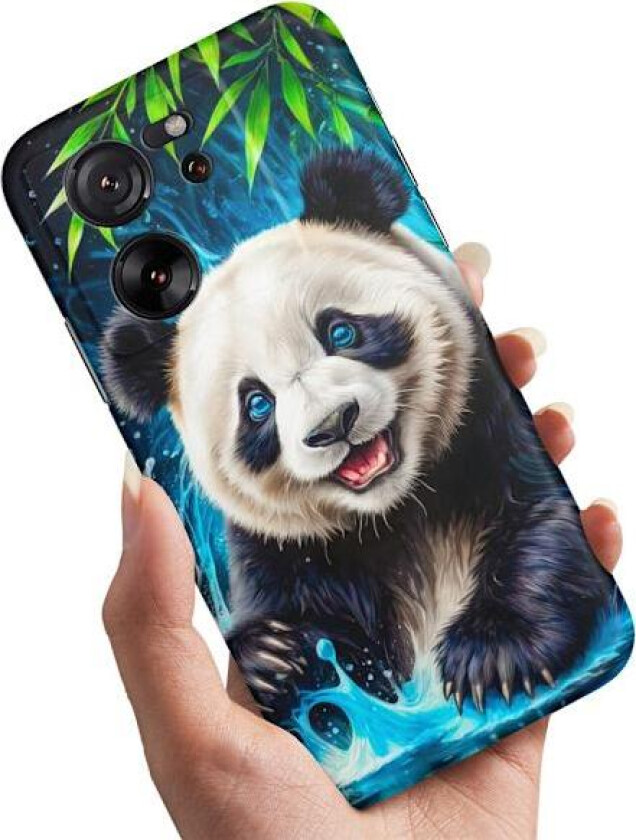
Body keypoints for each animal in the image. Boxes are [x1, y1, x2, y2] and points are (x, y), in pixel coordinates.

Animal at [102, 148, 612, 720]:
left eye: (341, 331)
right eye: (257, 404)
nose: (332, 424)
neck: (399, 511)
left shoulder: (485, 417)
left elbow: (537, 518)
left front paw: (493, 653)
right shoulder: (282, 545)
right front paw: (275, 655)